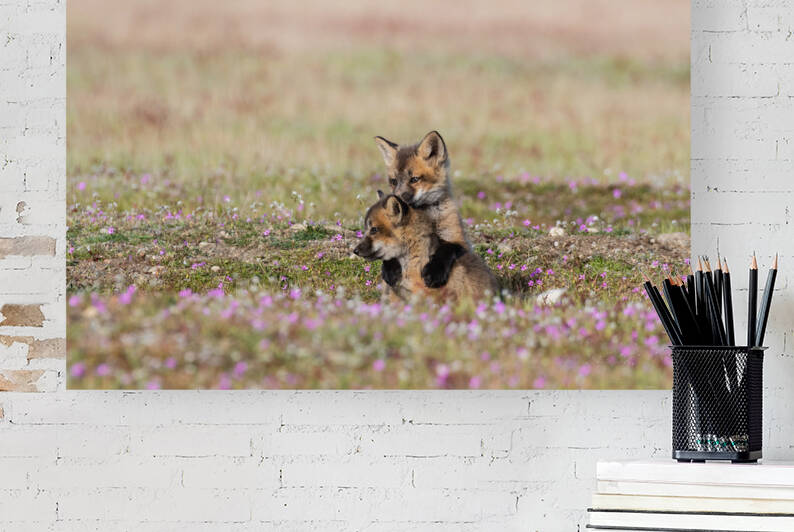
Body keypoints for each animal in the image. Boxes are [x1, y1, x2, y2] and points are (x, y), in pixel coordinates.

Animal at [373, 130, 470, 290]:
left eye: (414, 179)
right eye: (394, 181)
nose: (396, 200)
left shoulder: (460, 241)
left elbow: (445, 250)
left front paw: (434, 272)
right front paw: (390, 268)